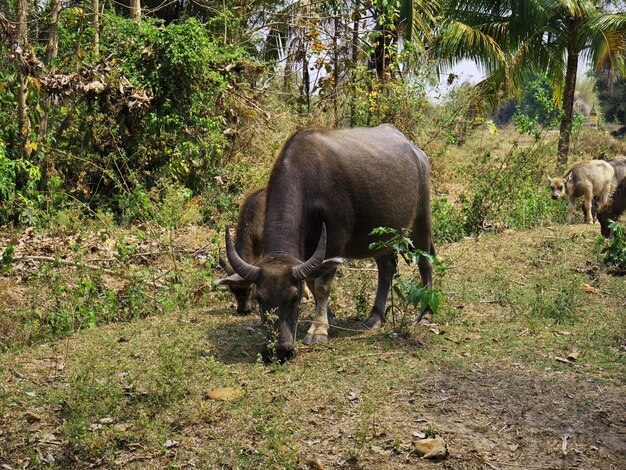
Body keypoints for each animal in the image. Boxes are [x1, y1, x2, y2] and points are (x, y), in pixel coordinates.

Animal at [214, 125, 434, 364]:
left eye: (294, 298)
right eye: (259, 298)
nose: (278, 350)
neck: (307, 179)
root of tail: (417, 152)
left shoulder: (334, 239)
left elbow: (322, 286)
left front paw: (318, 330)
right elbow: (311, 281)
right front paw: (329, 318)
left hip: (421, 220)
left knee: (426, 261)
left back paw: (426, 314)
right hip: (379, 236)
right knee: (386, 269)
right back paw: (375, 316)